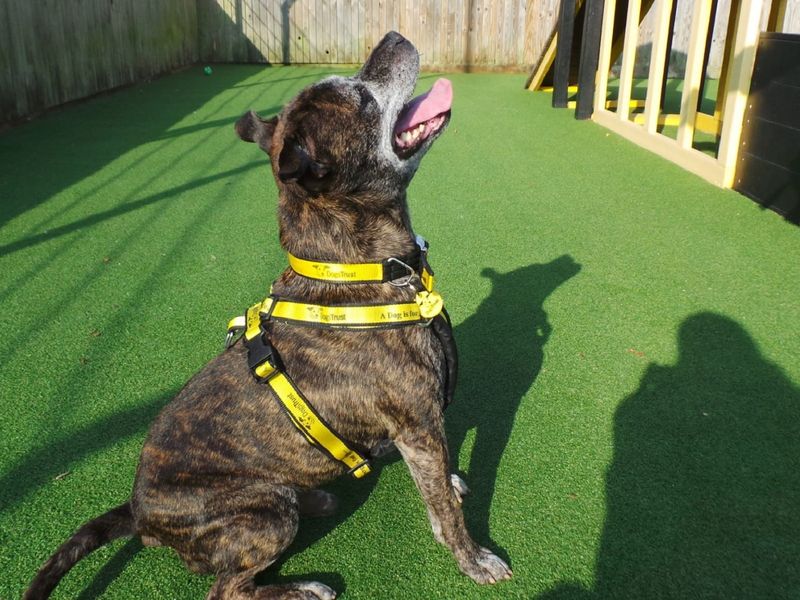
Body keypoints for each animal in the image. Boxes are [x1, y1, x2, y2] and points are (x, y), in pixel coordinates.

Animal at [28, 31, 512, 600]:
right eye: (362, 99)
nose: (393, 37)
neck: (361, 269)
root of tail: (139, 516)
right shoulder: (416, 423)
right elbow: (446, 515)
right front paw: (474, 559)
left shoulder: (423, 429)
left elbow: (439, 472)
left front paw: (450, 481)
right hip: (265, 515)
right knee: (226, 589)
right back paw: (302, 587)